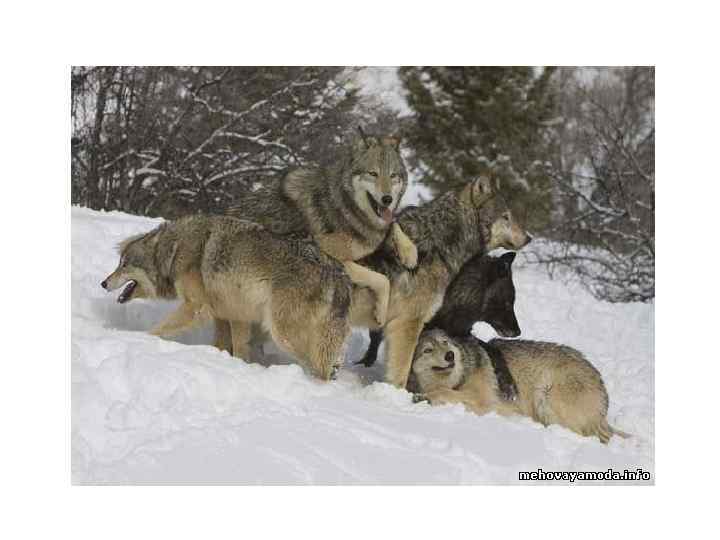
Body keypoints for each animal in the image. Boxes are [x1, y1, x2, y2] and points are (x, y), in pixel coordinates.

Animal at [100, 213, 352, 382]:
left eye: (124, 265)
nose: (103, 283)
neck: (174, 251)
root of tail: (337, 274)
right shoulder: (232, 315)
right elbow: (234, 347)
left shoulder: (196, 307)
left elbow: (158, 329)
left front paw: (139, 339)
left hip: (283, 334)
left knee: (317, 369)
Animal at [225, 132, 416, 326]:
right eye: (373, 173)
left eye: (393, 175)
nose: (387, 199)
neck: (345, 205)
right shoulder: (329, 253)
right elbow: (382, 280)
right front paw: (381, 313)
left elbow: (393, 224)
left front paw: (410, 253)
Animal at [356, 250, 520, 400]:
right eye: (508, 303)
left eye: (512, 302)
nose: (518, 331)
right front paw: (509, 386)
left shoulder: (457, 332)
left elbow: (491, 349)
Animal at [410, 332, 632, 446]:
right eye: (428, 350)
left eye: (445, 343)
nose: (450, 356)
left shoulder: (484, 402)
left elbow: (443, 392)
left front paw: (424, 397)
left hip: (546, 397)